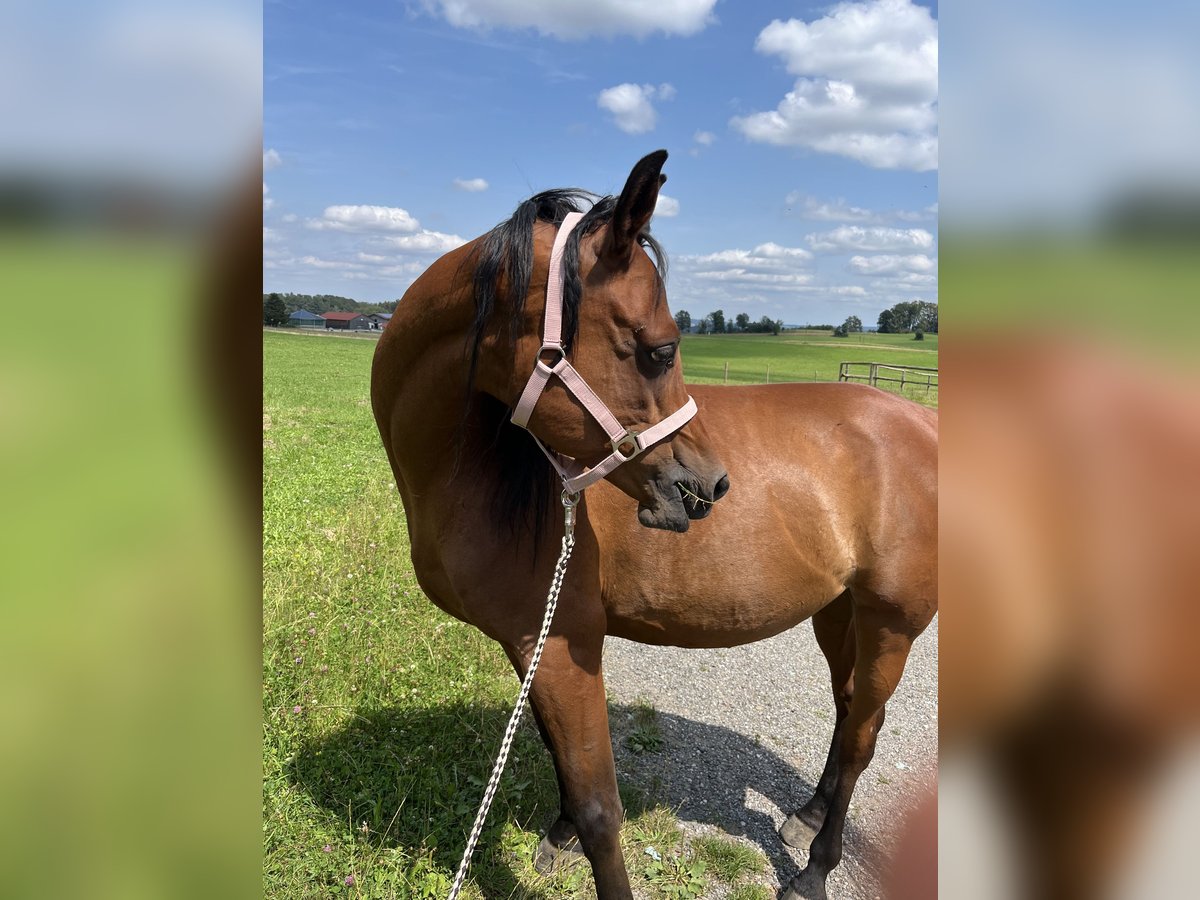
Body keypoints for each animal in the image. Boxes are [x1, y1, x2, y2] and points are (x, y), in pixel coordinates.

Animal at [369, 151, 940, 897]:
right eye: (662, 349)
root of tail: (924, 420)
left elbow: (599, 806)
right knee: (848, 717)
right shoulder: (535, 642)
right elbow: (557, 755)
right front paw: (558, 833)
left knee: (864, 736)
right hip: (839, 610)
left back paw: (815, 869)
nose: (710, 485)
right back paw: (808, 817)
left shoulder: (561, 642)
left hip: (891, 623)